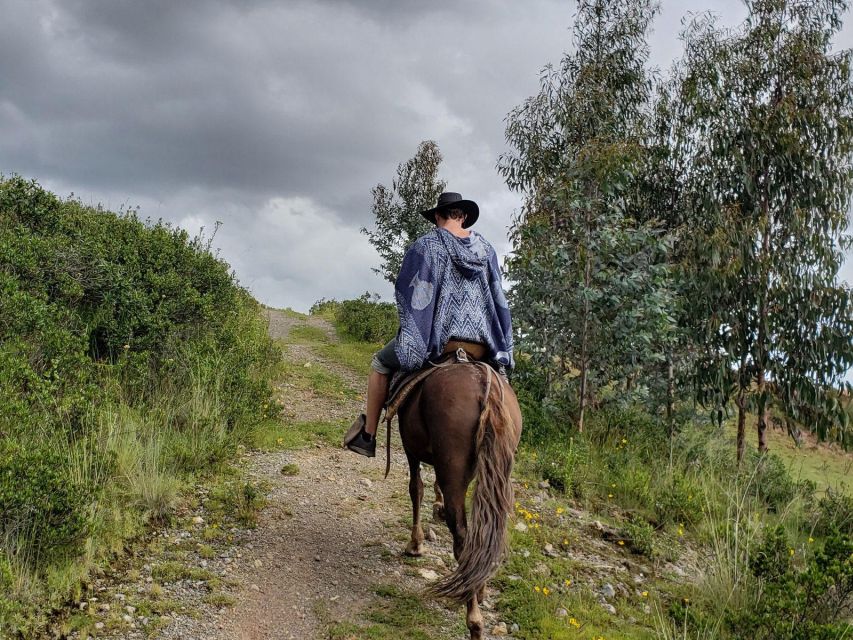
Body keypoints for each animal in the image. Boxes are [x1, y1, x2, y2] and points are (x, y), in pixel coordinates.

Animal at [392, 362, 520, 636]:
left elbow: (416, 489)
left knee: (462, 534)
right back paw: (477, 587)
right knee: (489, 530)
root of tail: (485, 385)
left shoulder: (411, 449)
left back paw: (474, 621)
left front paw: (415, 545)